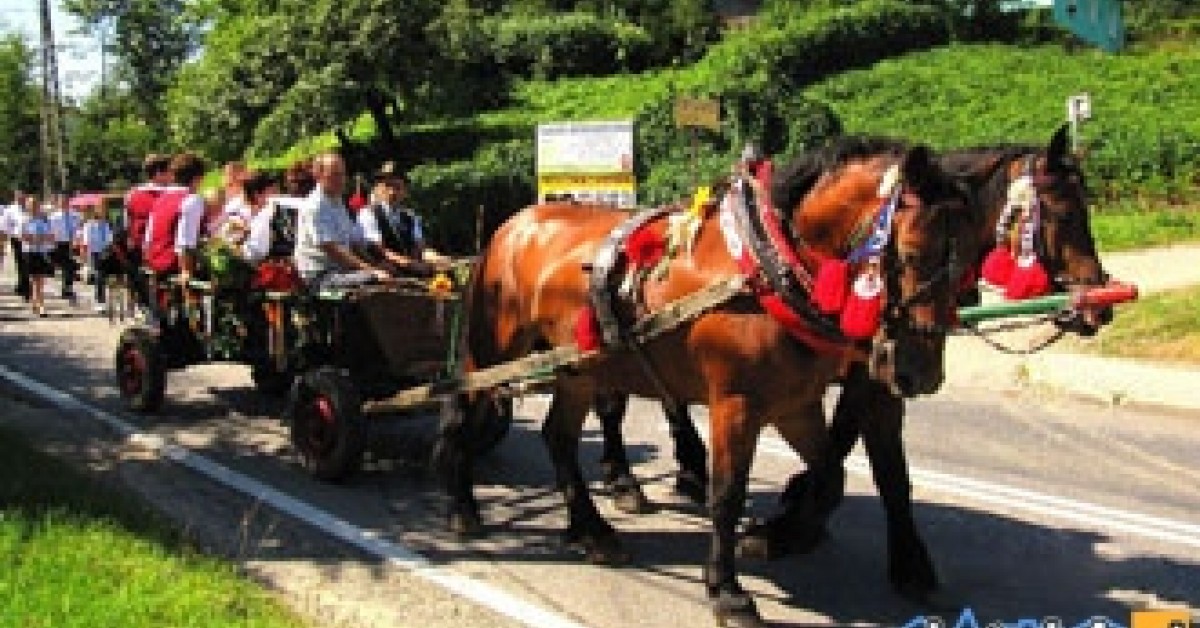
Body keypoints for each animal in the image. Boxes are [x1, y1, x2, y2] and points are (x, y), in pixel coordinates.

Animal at [436, 138, 979, 628]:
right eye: (910, 253)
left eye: (971, 260)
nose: (920, 373)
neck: (767, 269)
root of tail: (509, 226)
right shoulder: (736, 405)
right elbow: (727, 495)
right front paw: (727, 589)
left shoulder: (795, 405)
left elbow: (831, 477)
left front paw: (781, 535)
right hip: (494, 350)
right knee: (465, 415)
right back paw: (463, 507)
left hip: (577, 368)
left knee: (559, 438)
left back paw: (591, 530)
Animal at [592, 125, 1113, 602]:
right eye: (1064, 213)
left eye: (964, 251)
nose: (1099, 306)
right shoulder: (857, 373)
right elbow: (850, 450)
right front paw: (791, 525)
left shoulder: (876, 379)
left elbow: (886, 468)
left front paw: (903, 559)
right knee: (616, 406)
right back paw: (628, 481)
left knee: (664, 399)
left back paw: (685, 472)